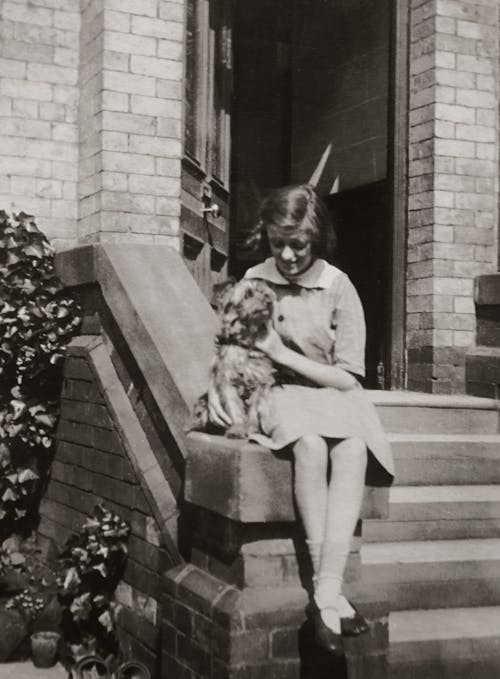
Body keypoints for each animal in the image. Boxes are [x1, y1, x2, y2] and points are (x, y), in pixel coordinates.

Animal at [190, 278, 278, 438]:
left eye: (265, 293)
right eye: (247, 294)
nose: (269, 301)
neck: (245, 344)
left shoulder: (260, 382)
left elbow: (254, 408)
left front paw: (251, 428)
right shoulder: (227, 382)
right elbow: (233, 407)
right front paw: (237, 429)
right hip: (203, 405)